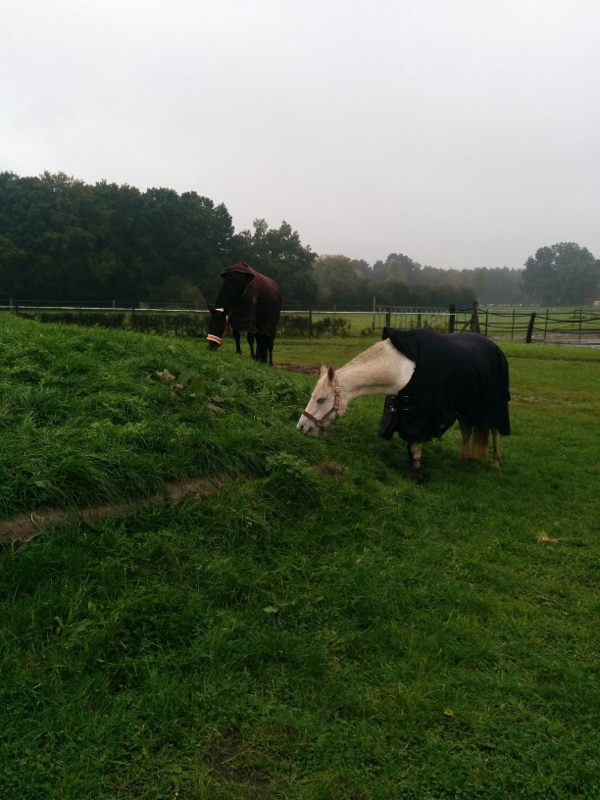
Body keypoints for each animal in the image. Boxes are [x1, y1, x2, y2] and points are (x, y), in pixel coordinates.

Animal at [297, 328, 510, 484]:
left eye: (321, 399)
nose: (301, 426)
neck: (401, 368)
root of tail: (495, 347)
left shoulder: (419, 412)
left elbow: (416, 444)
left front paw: (417, 476)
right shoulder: (402, 409)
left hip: (492, 405)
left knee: (494, 431)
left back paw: (495, 462)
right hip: (464, 406)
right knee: (467, 431)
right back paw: (462, 460)